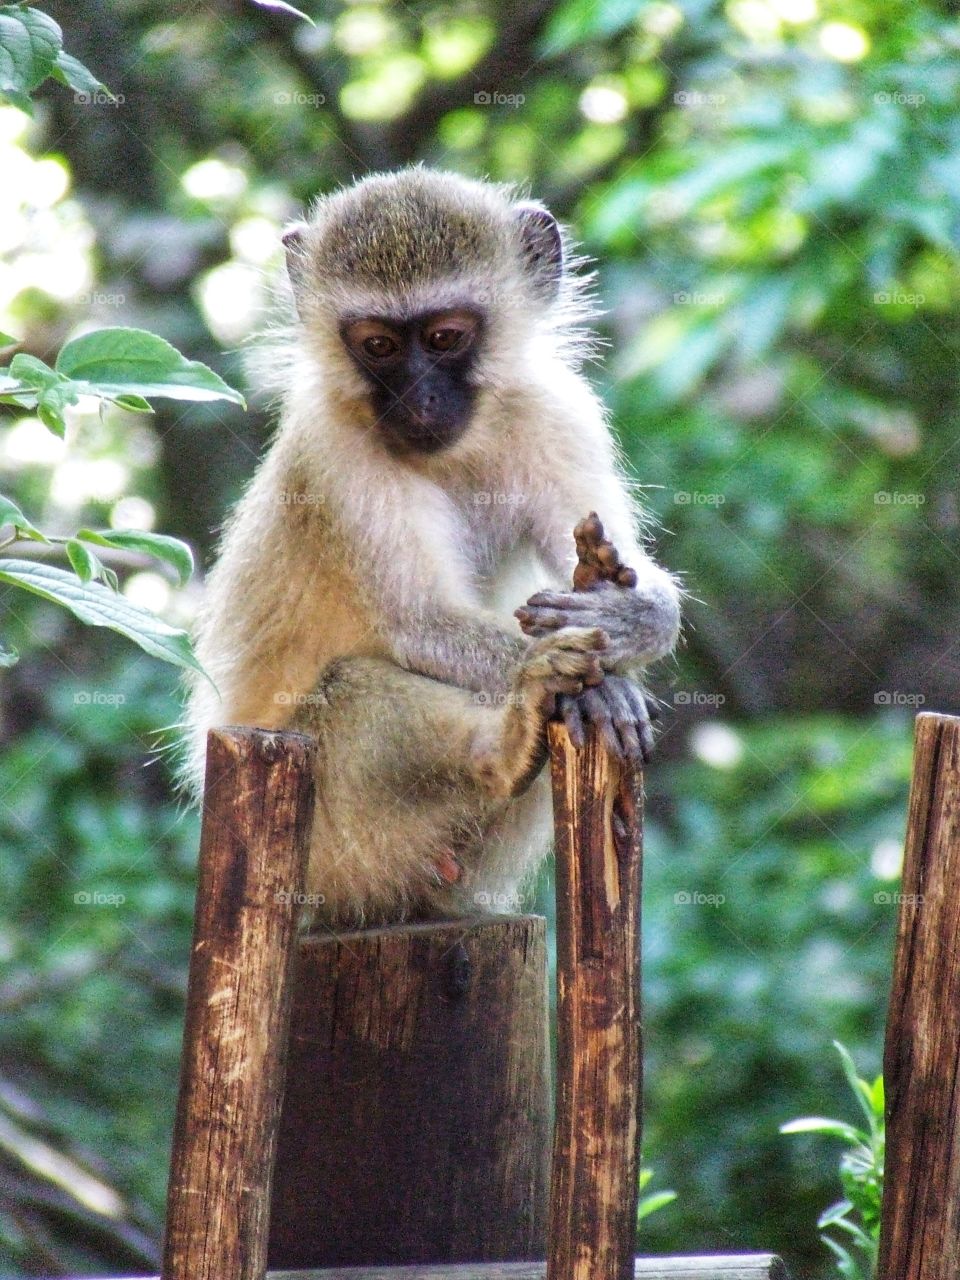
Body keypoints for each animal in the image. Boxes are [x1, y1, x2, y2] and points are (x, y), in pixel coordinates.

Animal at [183, 167, 680, 924]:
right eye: (379, 347)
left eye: (445, 337)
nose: (417, 403)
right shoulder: (334, 451)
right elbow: (422, 622)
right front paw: (599, 684)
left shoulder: (559, 412)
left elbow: (616, 565)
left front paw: (639, 617)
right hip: (331, 847)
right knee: (354, 690)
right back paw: (506, 744)